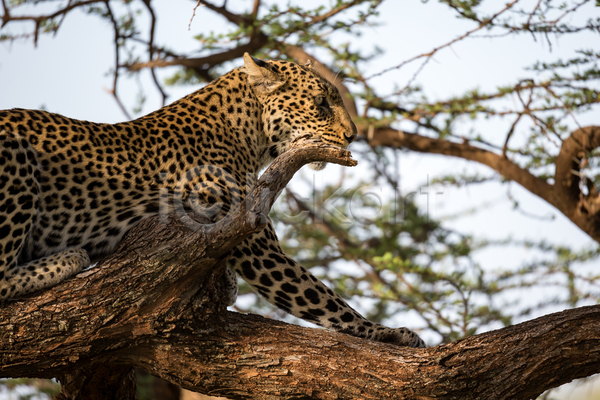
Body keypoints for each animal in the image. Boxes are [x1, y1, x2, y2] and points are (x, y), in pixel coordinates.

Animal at [0, 52, 424, 346]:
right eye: (321, 102)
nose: (354, 135)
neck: (250, 134)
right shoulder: (254, 241)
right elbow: (322, 299)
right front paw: (389, 334)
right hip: (14, 156)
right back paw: (66, 260)